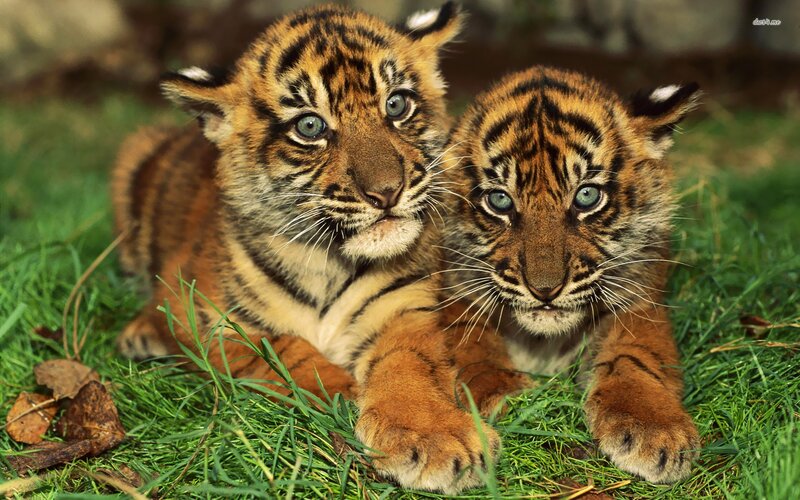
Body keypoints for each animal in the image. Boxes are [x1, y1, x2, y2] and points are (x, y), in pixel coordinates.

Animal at [111, 3, 500, 493]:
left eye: (396, 104)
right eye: (310, 126)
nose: (387, 192)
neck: (327, 261)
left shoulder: (405, 308)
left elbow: (410, 365)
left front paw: (434, 436)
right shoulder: (207, 314)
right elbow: (283, 349)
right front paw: (342, 393)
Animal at [439, 66, 702, 483]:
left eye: (586, 196)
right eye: (500, 201)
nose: (545, 290)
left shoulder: (640, 301)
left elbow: (635, 356)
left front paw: (655, 428)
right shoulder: (456, 298)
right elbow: (476, 350)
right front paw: (510, 397)